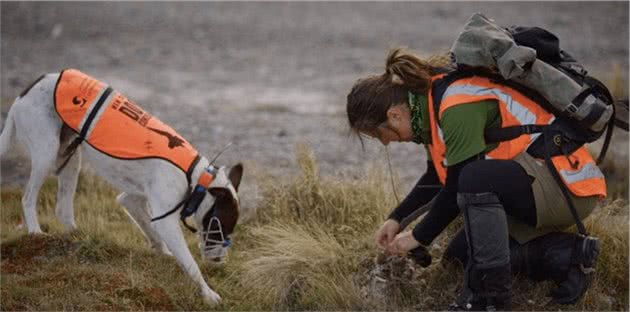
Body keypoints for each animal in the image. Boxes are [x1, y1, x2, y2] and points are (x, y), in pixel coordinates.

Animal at [0, 69, 244, 306]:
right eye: (220, 226)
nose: (218, 260)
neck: (196, 178)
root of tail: (27, 91)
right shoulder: (166, 221)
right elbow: (190, 263)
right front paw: (208, 293)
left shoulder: (131, 200)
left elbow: (152, 232)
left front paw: (164, 255)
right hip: (47, 153)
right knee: (28, 198)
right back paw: (35, 232)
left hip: (71, 157)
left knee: (62, 209)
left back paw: (79, 236)